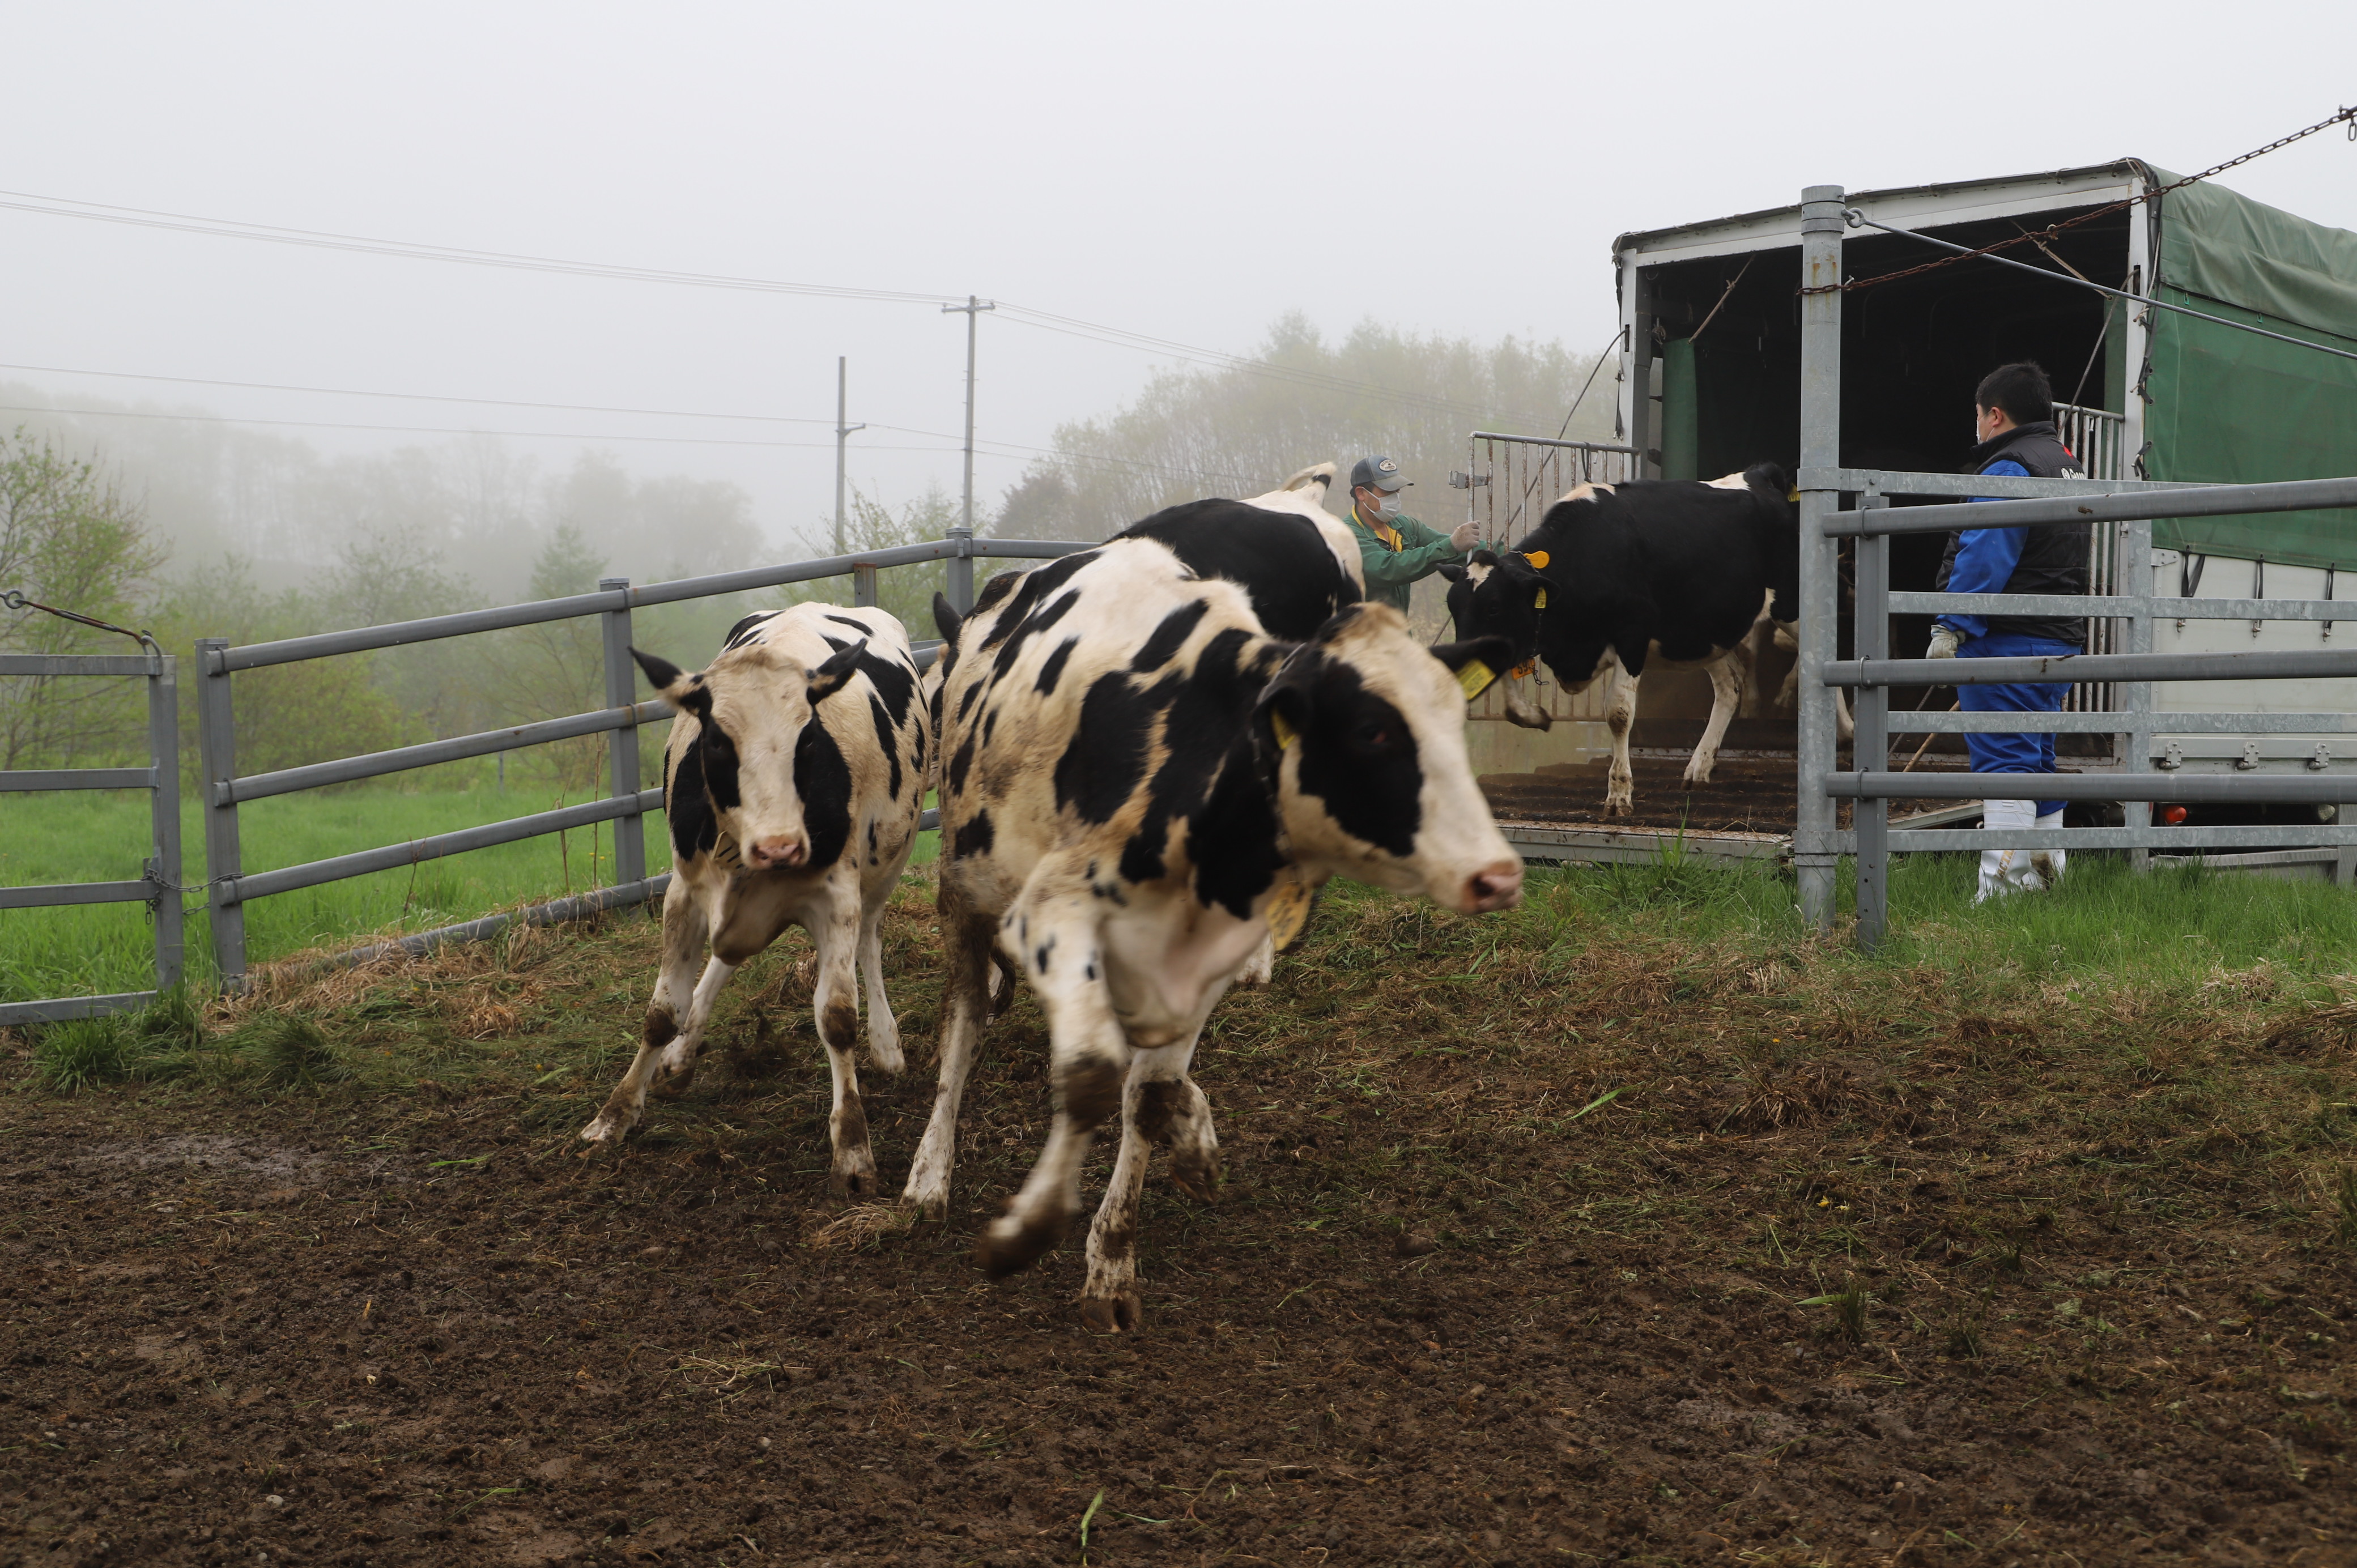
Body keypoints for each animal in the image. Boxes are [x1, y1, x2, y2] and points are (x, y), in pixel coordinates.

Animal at [580, 603, 929, 1193]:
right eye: (718, 740)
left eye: (807, 739)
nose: (780, 847)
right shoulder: (684, 894)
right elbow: (661, 1013)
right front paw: (616, 1113)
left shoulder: (838, 897)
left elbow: (837, 1017)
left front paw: (853, 1149)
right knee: (724, 958)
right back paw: (681, 1056)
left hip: (886, 867)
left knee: (871, 941)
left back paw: (886, 1043)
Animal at [900, 535, 1527, 1320]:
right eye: (1371, 730)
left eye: (1453, 722)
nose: (1496, 873)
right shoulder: (1050, 913)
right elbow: (1091, 1074)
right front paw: (1029, 1228)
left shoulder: (1203, 957)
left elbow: (1149, 1094)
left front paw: (1116, 1253)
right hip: (966, 889)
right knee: (963, 1021)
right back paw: (929, 1172)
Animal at [1433, 462, 1838, 806]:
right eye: (1453, 606)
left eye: (1493, 606)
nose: (1459, 661)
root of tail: (1759, 475)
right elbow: (1511, 702)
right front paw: (1535, 716)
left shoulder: (1633, 637)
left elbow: (1618, 714)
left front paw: (1619, 793)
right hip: (1704, 631)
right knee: (1730, 687)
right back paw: (1700, 765)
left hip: (1790, 607)